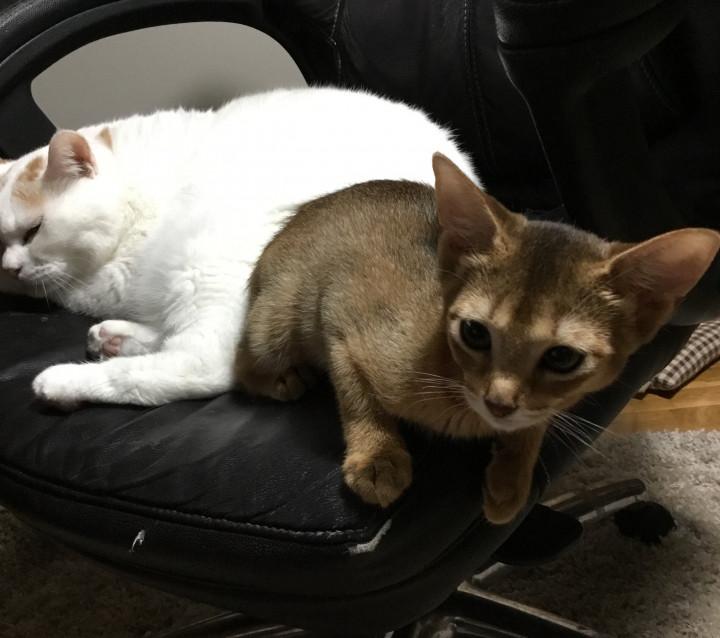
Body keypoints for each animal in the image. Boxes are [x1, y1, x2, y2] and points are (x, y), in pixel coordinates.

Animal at [0, 87, 474, 408]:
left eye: (33, 231)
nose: (10, 268)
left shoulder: (117, 276)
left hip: (209, 256)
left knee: (204, 364)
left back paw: (63, 382)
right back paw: (115, 338)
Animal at [235, 153, 720, 524]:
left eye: (562, 358)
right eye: (474, 333)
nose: (498, 402)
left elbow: (533, 424)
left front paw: (510, 481)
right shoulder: (341, 321)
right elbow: (358, 398)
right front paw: (377, 458)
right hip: (274, 324)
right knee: (241, 363)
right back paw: (283, 379)